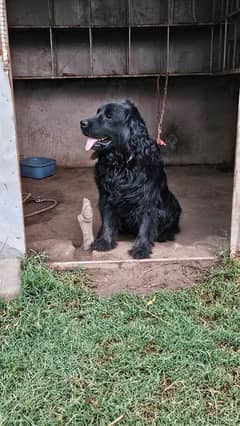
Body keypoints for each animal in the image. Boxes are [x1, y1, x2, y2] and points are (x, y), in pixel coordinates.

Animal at [79, 100, 181, 260]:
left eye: (109, 116)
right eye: (98, 112)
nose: (82, 123)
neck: (121, 163)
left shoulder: (148, 199)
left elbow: (146, 225)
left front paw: (141, 248)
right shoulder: (106, 196)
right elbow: (107, 221)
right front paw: (104, 241)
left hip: (173, 203)